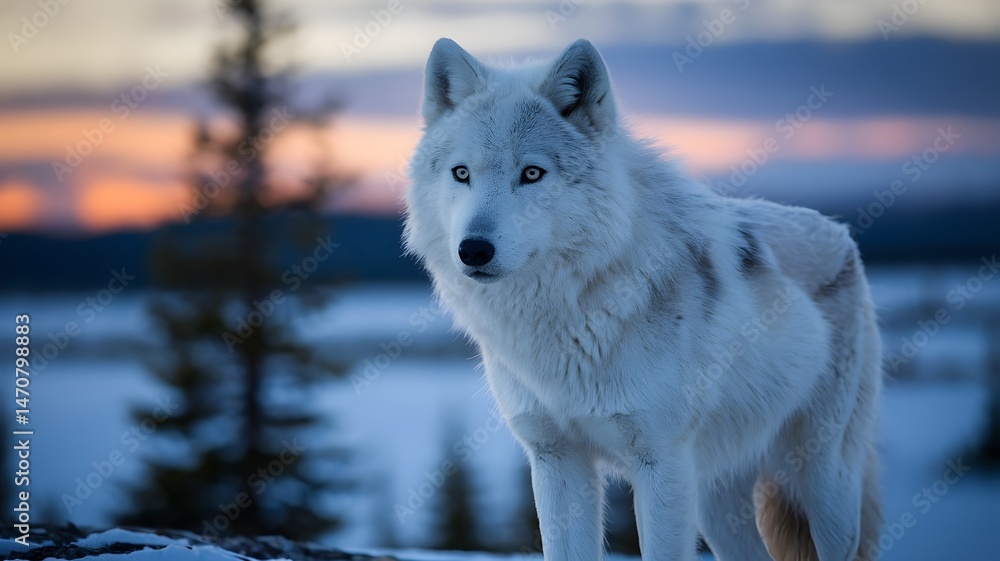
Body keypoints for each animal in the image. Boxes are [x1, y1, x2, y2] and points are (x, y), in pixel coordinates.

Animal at [403, 38, 882, 561]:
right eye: (461, 173)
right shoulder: (555, 459)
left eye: (531, 173)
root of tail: (842, 234)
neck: (566, 318)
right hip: (716, 504)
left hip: (822, 483)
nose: (473, 250)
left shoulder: (662, 462)